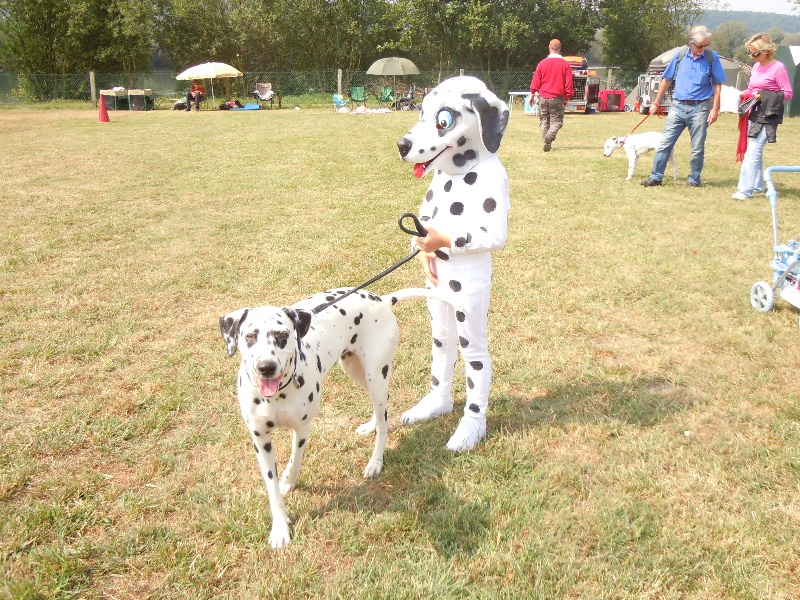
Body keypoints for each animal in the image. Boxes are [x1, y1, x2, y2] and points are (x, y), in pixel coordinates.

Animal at [219, 286, 456, 548]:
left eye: (282, 334)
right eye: (250, 336)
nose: (266, 366)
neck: (277, 394)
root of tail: (382, 300)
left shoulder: (302, 429)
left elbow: (295, 460)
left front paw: (289, 479)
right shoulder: (261, 440)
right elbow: (273, 489)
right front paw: (280, 527)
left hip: (375, 374)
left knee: (384, 422)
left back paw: (375, 462)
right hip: (355, 369)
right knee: (382, 408)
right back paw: (371, 426)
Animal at [396, 74, 512, 450]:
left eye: (443, 120)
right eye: (420, 112)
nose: (402, 145)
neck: (458, 175)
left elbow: (488, 234)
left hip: (468, 313)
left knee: (476, 364)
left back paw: (469, 430)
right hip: (441, 308)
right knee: (444, 349)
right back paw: (436, 405)